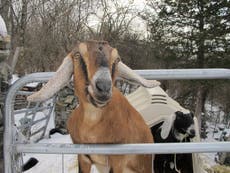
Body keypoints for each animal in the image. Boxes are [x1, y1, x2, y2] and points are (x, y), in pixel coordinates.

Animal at [27, 40, 160, 172]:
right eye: (77, 55)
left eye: (116, 59)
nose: (104, 87)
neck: (92, 125)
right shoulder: (83, 156)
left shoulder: (118, 159)